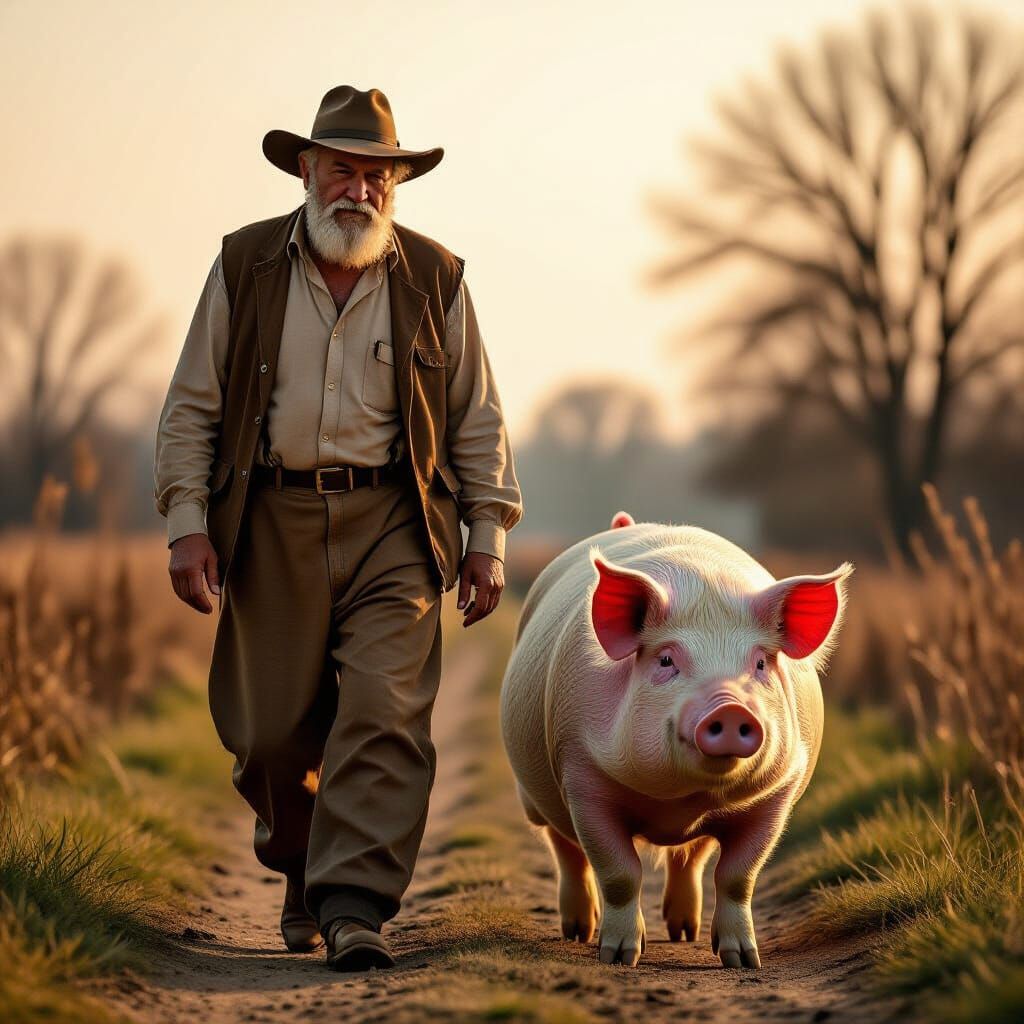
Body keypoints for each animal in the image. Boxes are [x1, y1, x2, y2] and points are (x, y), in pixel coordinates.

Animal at [499, 512, 852, 968]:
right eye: (667, 660)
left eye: (759, 663)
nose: (730, 708)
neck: (681, 801)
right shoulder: (582, 776)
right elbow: (619, 872)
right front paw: (619, 958)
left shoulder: (777, 793)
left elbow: (738, 875)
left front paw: (743, 961)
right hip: (533, 795)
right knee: (565, 848)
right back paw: (579, 932)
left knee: (692, 856)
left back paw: (684, 933)